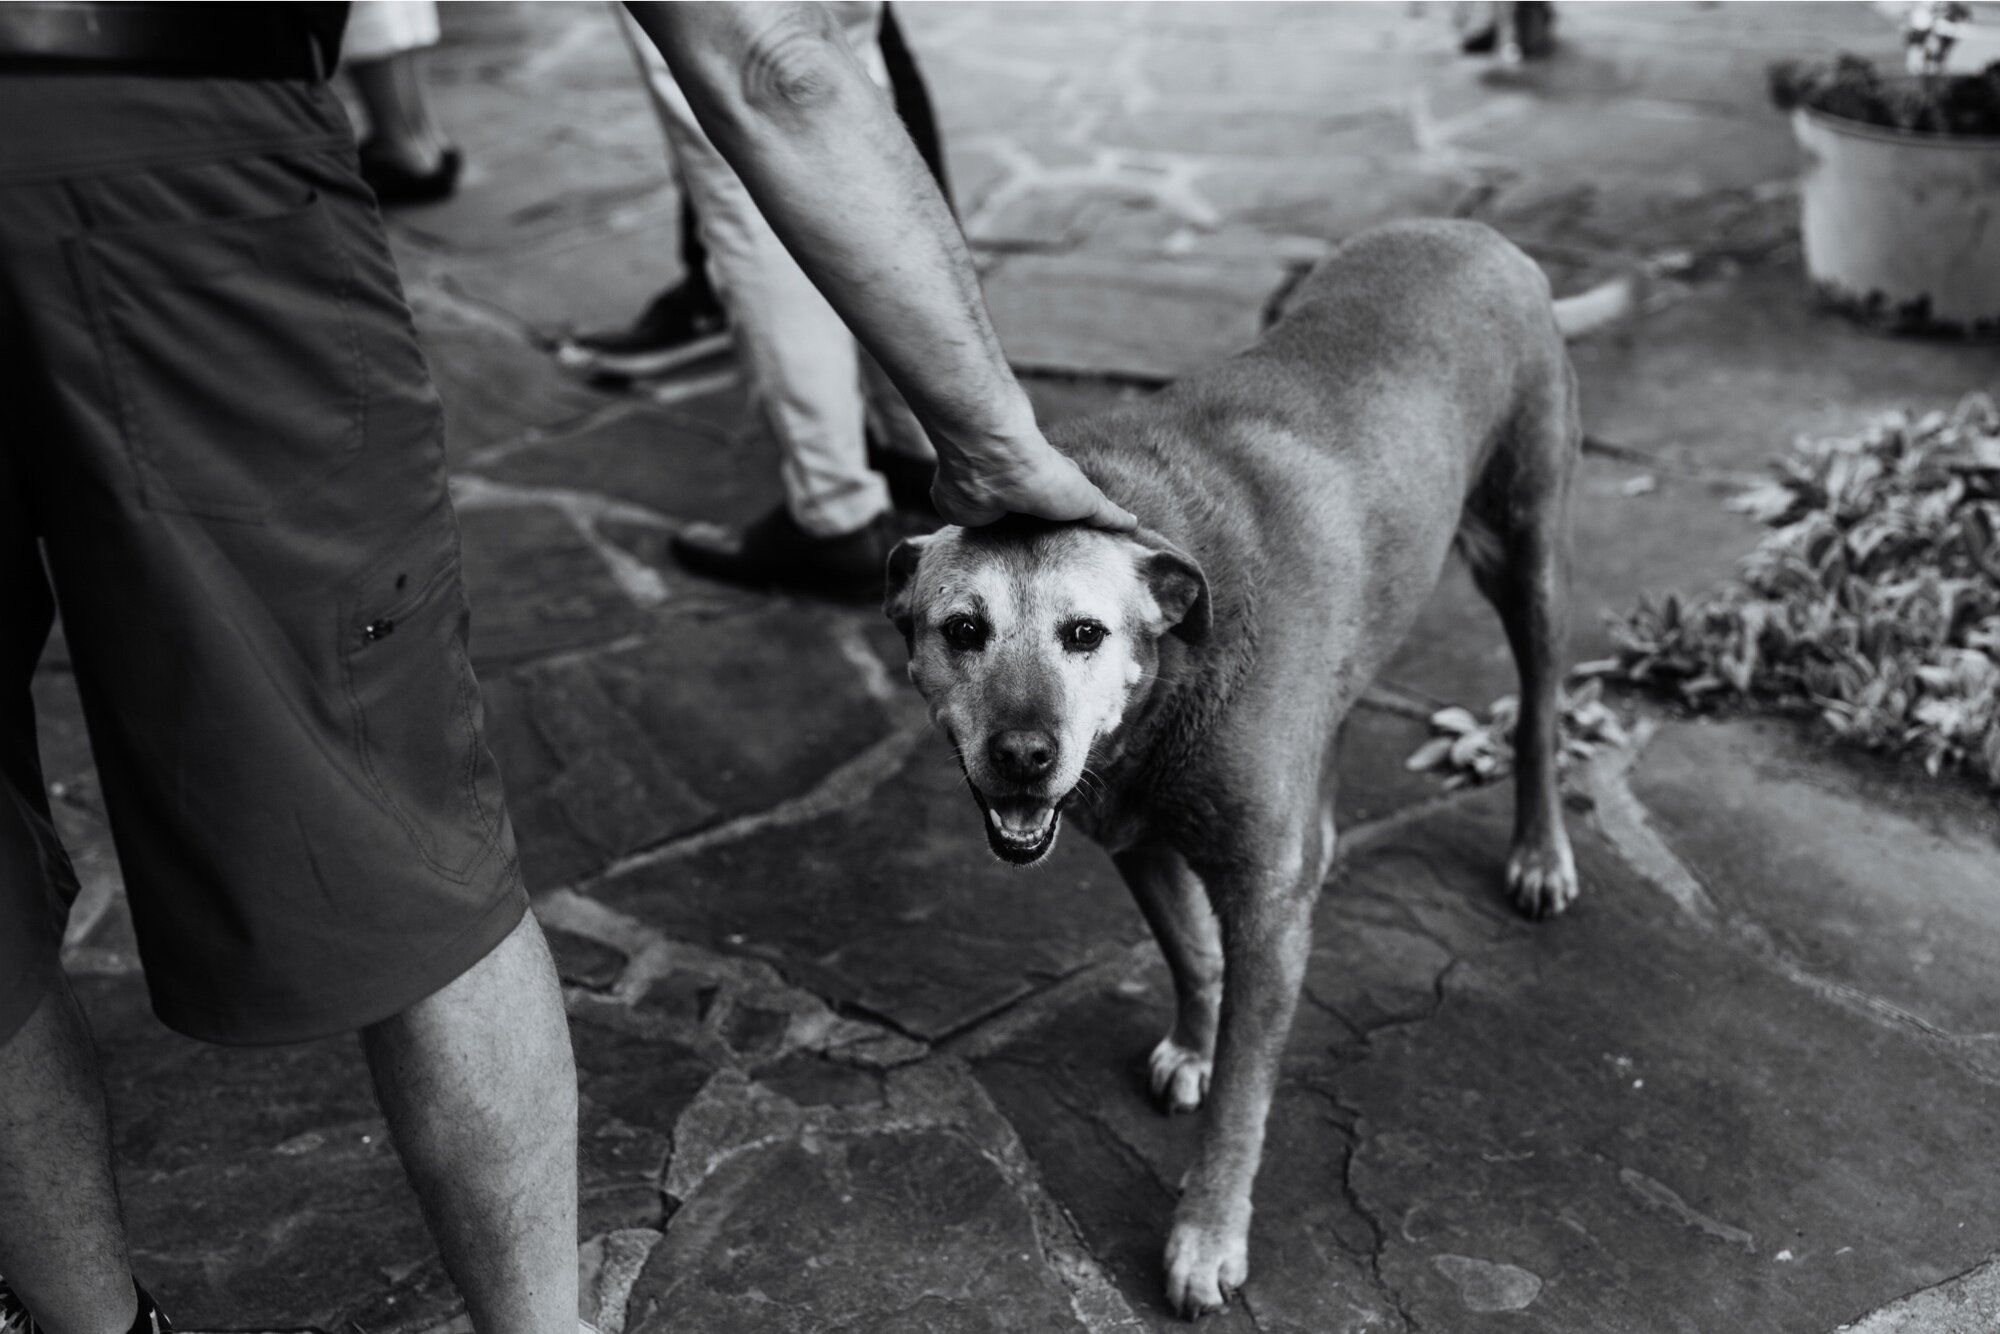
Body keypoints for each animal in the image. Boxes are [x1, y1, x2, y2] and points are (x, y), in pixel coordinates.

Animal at [888, 219, 1624, 1312]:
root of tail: (1482, 236)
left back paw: (1539, 853)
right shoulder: (1136, 840)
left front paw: (1205, 1234)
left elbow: (1244, 1090)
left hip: (1526, 555)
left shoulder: (1259, 905)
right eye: (962, 629)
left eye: (1084, 632)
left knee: (1535, 717)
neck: (1170, 676)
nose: (1023, 756)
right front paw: (1193, 1044)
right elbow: (1193, 955)